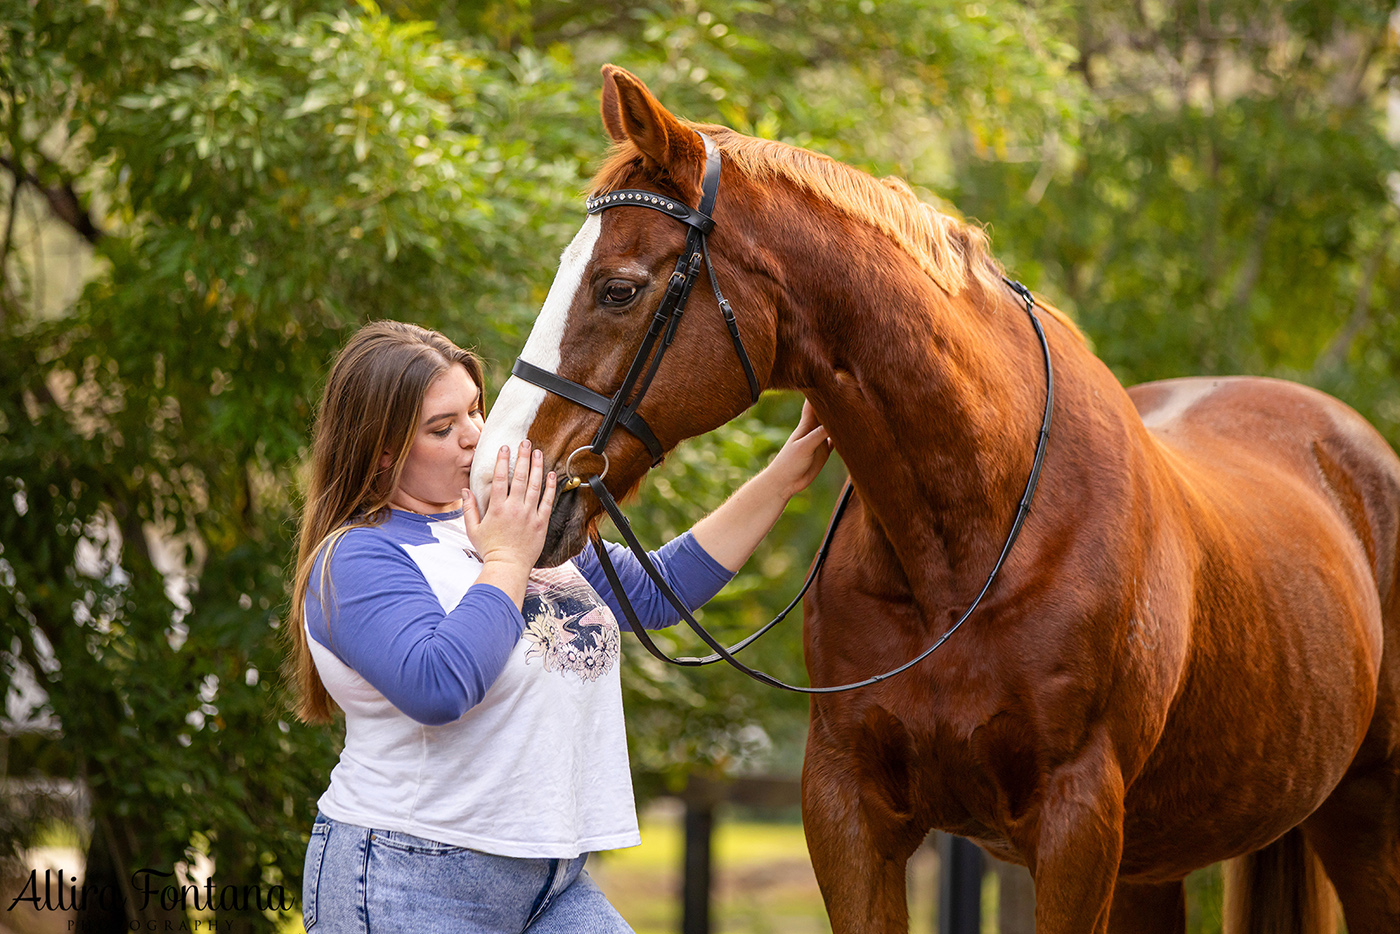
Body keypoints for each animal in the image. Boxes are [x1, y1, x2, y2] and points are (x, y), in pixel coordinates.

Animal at [473, 64, 1400, 929]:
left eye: (619, 288)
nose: (492, 481)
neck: (971, 546)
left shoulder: (1077, 829)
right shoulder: (849, 814)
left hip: (1363, 823)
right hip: (1155, 865)